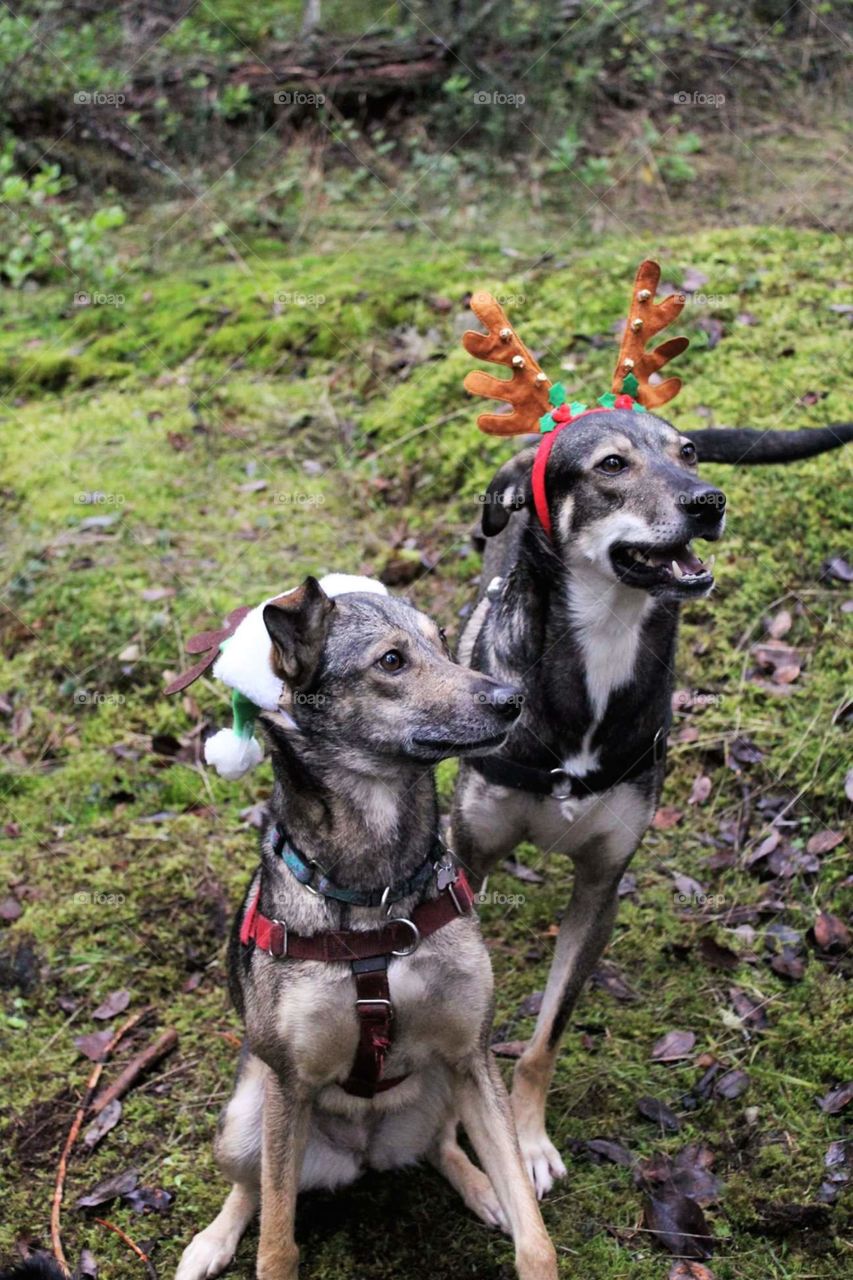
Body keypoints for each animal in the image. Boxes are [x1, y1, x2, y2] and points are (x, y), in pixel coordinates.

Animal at [175, 581, 555, 1280]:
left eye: (444, 642)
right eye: (391, 661)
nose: (512, 699)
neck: (377, 893)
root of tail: (364, 1152)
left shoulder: (472, 1053)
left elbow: (534, 1234)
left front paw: (511, 1207)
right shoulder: (290, 1083)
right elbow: (277, 1244)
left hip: (445, 1087)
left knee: (441, 1146)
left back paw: (480, 1186)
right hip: (246, 1118)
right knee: (252, 1187)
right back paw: (212, 1241)